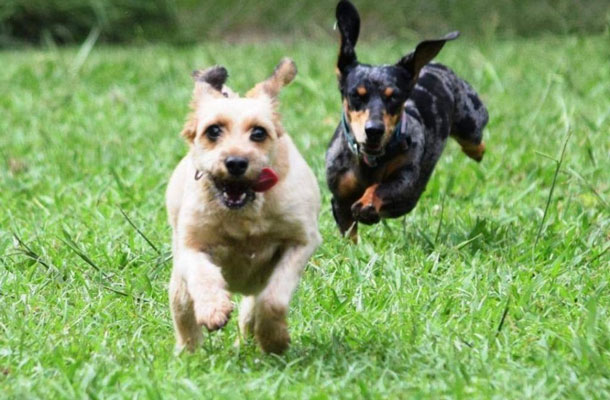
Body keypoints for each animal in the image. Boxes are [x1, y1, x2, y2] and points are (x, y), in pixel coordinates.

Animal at [164, 57, 320, 354]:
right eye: (213, 130)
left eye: (259, 133)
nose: (236, 162)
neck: (244, 215)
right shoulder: (191, 245)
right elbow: (203, 275)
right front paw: (214, 309)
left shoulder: (301, 241)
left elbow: (273, 299)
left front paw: (274, 339)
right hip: (179, 286)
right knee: (184, 314)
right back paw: (188, 353)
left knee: (251, 311)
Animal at [326, 0, 486, 239]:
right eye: (356, 95)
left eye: (394, 97)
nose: (374, 130)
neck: (370, 162)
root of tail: (435, 64)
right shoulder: (340, 201)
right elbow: (349, 234)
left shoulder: (405, 182)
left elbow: (381, 187)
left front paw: (367, 202)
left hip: (471, 122)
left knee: (475, 141)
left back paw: (476, 151)